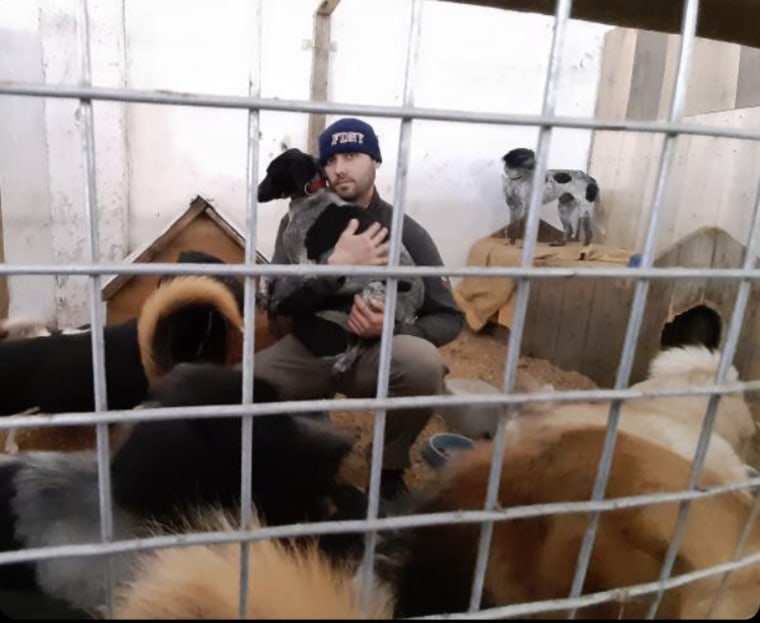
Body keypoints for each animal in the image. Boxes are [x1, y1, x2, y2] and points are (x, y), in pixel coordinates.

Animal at [254, 150, 422, 376]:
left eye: (271, 172)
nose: (257, 193)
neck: (310, 196)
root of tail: (415, 307)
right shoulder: (284, 257)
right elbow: (267, 275)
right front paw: (264, 297)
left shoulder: (304, 264)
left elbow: (283, 292)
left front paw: (275, 305)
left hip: (371, 297)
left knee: (364, 342)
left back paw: (344, 361)